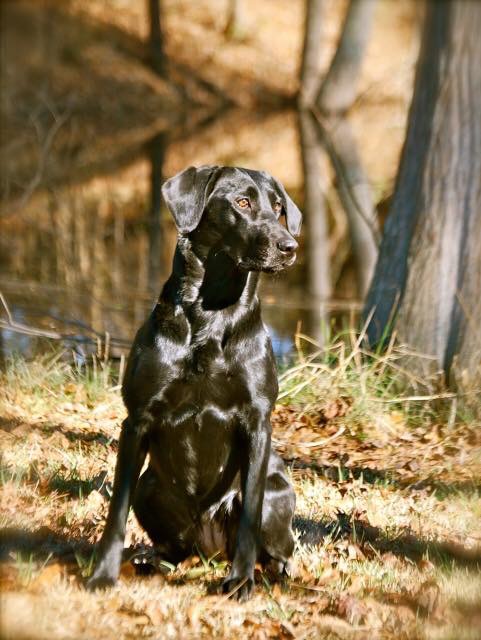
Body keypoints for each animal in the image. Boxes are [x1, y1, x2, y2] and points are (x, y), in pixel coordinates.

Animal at [87, 165, 300, 600]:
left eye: (278, 208)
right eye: (242, 202)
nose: (290, 246)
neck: (211, 313)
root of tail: (210, 548)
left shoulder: (257, 420)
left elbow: (249, 516)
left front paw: (241, 581)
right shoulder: (137, 419)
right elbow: (116, 511)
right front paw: (103, 574)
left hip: (278, 491)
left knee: (280, 549)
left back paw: (271, 573)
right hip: (151, 488)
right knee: (176, 547)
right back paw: (150, 559)